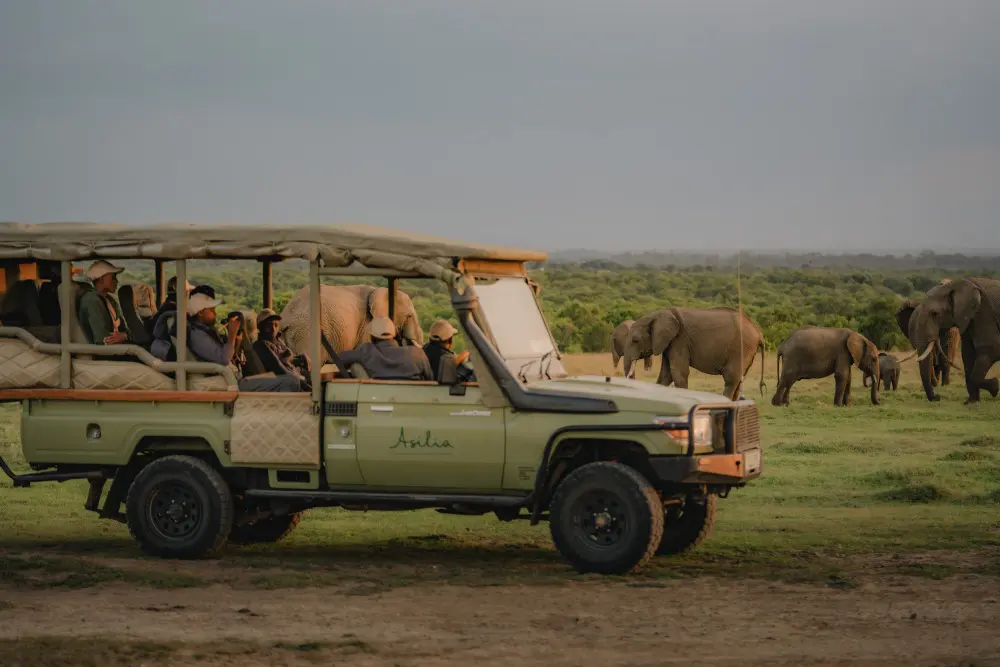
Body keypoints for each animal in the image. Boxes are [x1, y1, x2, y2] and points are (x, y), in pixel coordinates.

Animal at [622, 307, 766, 400]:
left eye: (635, 340)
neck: (656, 315)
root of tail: (759, 332)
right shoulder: (669, 344)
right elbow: (665, 375)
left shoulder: (679, 340)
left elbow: (678, 373)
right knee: (739, 380)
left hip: (741, 348)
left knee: (731, 378)